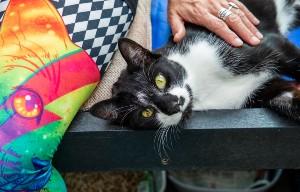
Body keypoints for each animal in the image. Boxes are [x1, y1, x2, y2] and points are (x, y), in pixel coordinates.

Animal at [90, 0, 300, 130]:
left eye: (159, 80)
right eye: (146, 113)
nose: (173, 104)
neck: (201, 86)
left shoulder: (264, 44)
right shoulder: (256, 92)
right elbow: (284, 97)